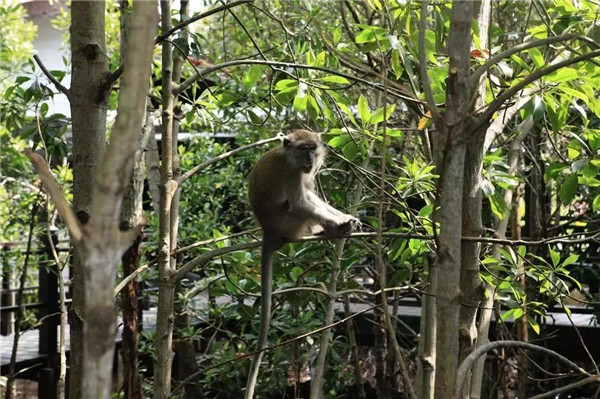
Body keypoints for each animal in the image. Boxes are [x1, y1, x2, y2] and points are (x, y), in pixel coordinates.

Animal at [245, 130, 358, 398]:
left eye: (313, 148)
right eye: (304, 148)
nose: (311, 158)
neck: (290, 158)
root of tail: (269, 232)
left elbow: (311, 196)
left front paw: (344, 217)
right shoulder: (292, 174)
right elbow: (300, 203)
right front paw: (340, 222)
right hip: (290, 224)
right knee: (296, 206)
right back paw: (332, 229)